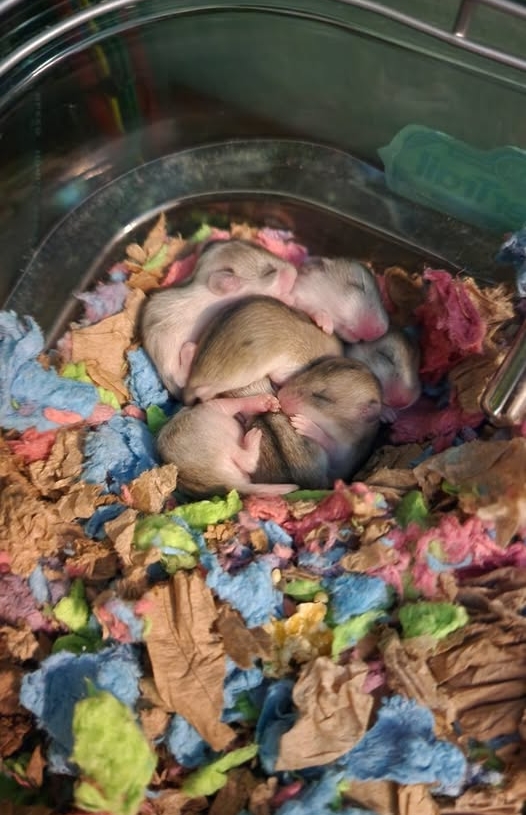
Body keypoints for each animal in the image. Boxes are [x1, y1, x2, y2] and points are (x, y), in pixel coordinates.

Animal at [141, 239, 298, 398]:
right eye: (270, 271)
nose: (295, 271)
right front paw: (289, 298)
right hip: (169, 354)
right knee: (181, 379)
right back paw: (189, 351)